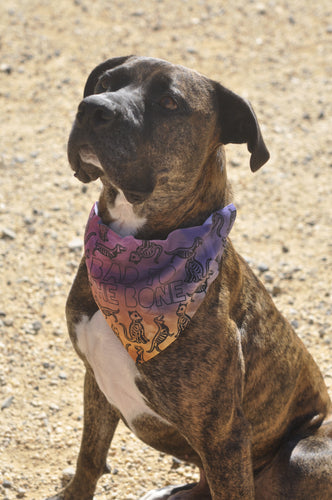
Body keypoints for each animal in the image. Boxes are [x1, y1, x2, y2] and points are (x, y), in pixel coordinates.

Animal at [49, 56, 332, 498]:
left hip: (302, 454)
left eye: (169, 102)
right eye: (105, 83)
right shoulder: (95, 382)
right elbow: (89, 457)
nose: (92, 108)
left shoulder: (224, 436)